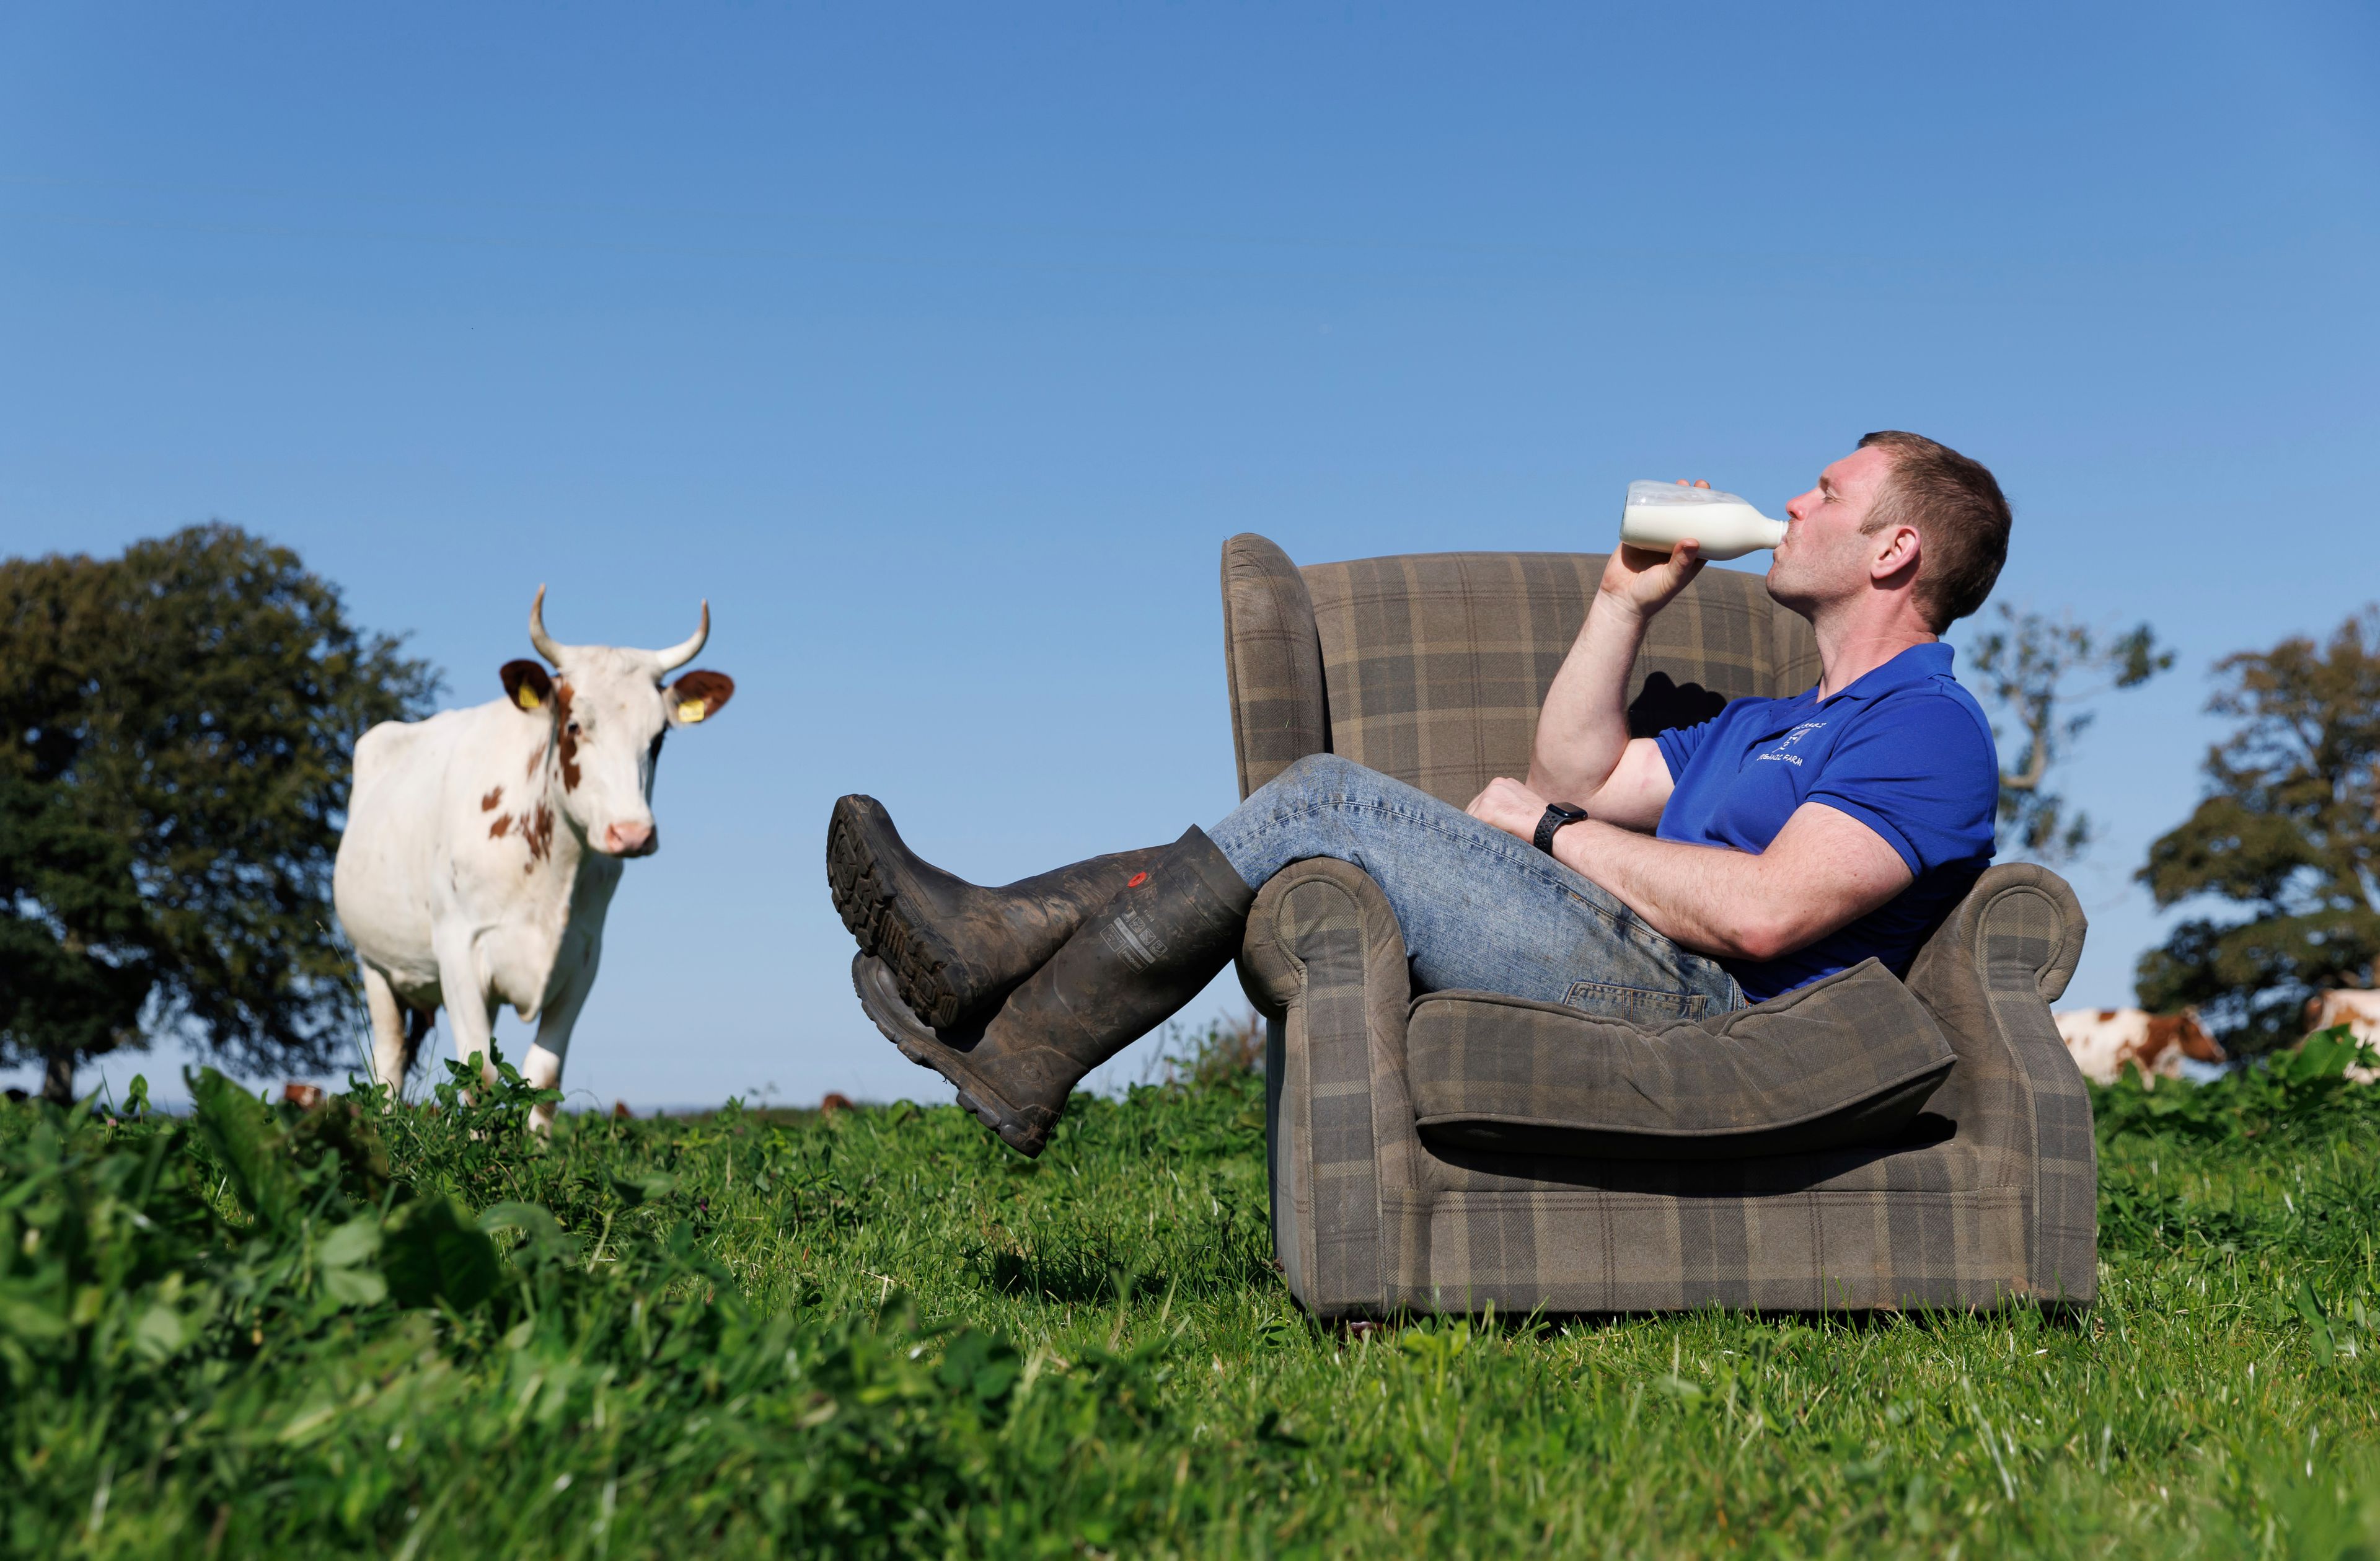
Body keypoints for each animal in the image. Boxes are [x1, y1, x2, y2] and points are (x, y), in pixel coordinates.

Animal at [330, 592, 728, 1128]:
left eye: (660, 737)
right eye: (575, 725)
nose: (632, 833)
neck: (550, 874)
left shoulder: (583, 960)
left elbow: (543, 1078)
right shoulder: (458, 947)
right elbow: (478, 1075)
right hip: (374, 963)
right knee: (389, 1059)